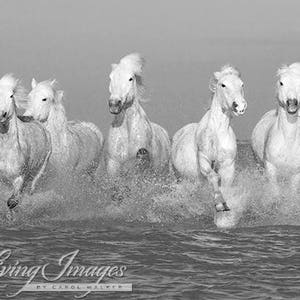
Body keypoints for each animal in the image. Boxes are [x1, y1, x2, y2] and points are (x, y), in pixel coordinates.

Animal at [172, 65, 247, 211]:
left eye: (241, 84)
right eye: (223, 85)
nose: (240, 106)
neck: (217, 134)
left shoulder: (228, 165)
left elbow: (225, 185)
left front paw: (226, 206)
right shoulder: (204, 160)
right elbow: (213, 177)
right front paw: (219, 204)